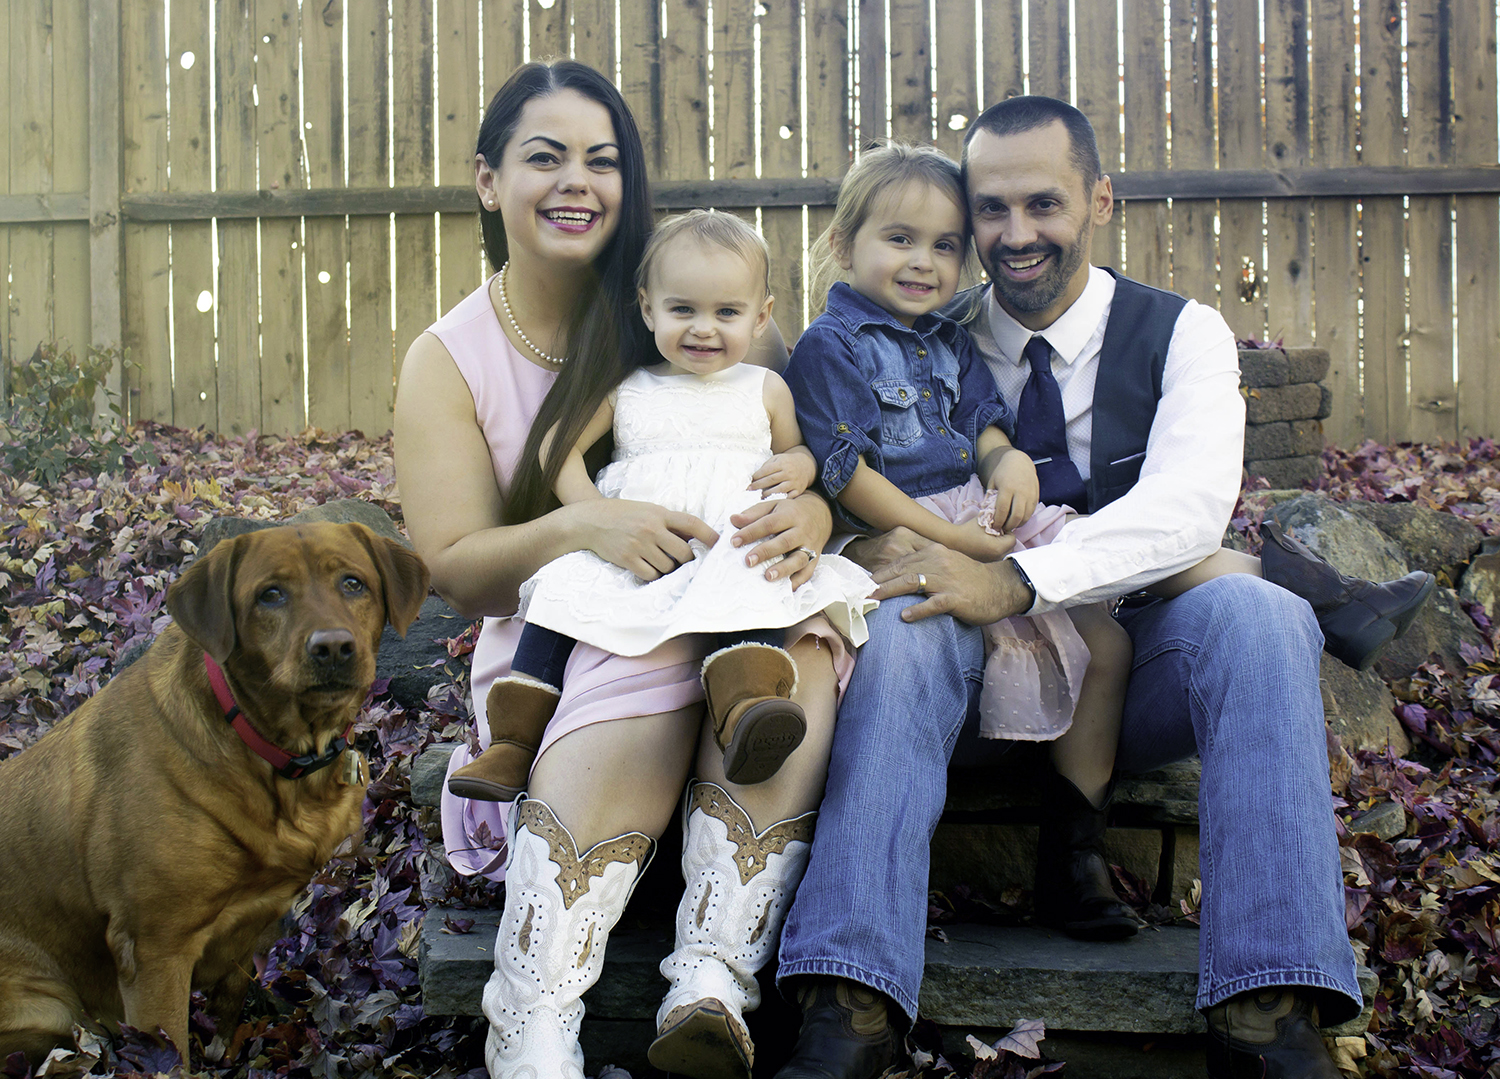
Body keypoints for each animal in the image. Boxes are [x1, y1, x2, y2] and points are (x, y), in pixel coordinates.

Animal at [0, 522, 429, 1062]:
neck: (277, 759)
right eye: (270, 594)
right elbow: (170, 1055)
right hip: (49, 1007)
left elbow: (228, 1003)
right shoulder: (154, 950)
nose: (333, 647)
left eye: (354, 584)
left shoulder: (255, 919)